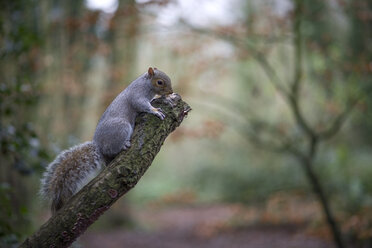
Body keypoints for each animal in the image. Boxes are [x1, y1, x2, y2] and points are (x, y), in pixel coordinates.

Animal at [40, 67, 174, 214]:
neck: (146, 85)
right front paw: (155, 110)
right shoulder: (137, 95)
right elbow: (142, 105)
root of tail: (99, 145)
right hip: (122, 127)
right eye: (160, 82)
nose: (171, 92)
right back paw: (123, 145)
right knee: (113, 148)